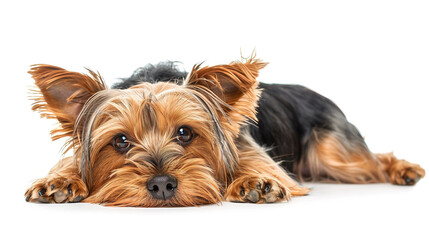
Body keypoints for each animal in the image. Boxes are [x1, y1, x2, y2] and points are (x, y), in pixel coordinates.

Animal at [25, 57, 422, 206]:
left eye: (185, 133)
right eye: (120, 141)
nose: (161, 185)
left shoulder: (248, 148)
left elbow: (267, 170)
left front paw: (255, 182)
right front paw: (59, 180)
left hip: (335, 151)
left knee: (373, 160)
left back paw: (405, 170)